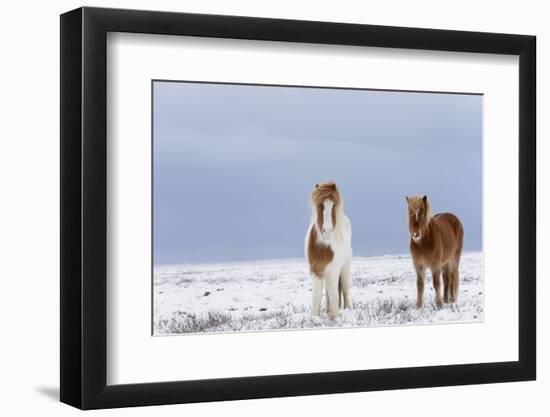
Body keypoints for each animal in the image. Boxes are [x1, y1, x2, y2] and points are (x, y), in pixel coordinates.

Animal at [306, 180, 354, 318]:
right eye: (320, 205)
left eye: (333, 206)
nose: (327, 231)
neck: (323, 247)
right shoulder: (316, 271)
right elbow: (316, 296)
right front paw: (315, 317)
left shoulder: (333, 271)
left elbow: (334, 295)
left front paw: (335, 316)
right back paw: (327, 310)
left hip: (344, 268)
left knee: (344, 289)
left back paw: (347, 309)